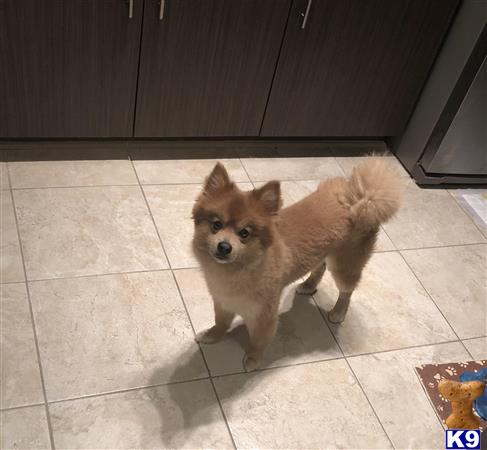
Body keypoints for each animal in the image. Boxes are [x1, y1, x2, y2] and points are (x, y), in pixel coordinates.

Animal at [191, 158, 404, 370]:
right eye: (216, 224)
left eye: (244, 233)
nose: (224, 246)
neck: (237, 270)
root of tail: (362, 196)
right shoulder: (222, 300)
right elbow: (220, 322)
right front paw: (212, 335)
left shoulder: (264, 315)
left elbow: (258, 340)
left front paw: (253, 359)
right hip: (323, 252)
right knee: (320, 267)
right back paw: (309, 285)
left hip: (343, 265)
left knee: (347, 290)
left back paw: (338, 312)